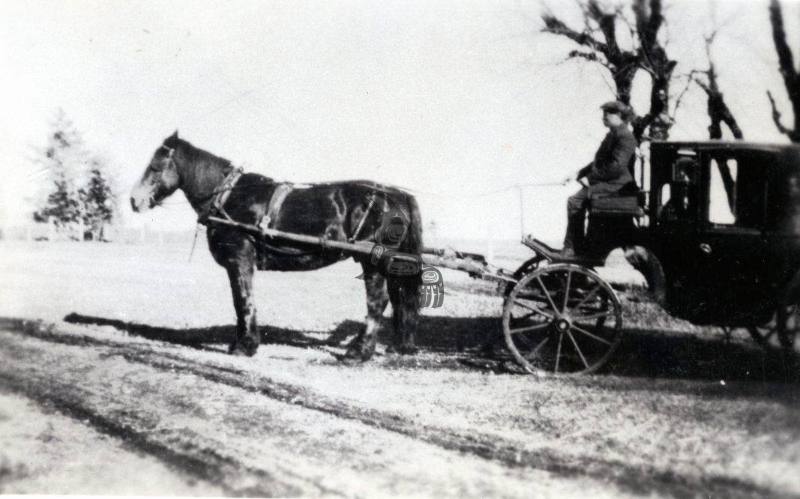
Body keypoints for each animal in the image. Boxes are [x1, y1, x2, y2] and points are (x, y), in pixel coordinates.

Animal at [130, 132, 424, 360]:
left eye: (155, 166)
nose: (134, 200)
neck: (228, 196)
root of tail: (395, 195)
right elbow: (239, 301)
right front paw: (242, 343)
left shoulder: (240, 258)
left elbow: (243, 299)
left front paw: (245, 346)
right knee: (398, 298)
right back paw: (396, 346)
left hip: (372, 260)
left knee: (378, 300)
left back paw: (358, 352)